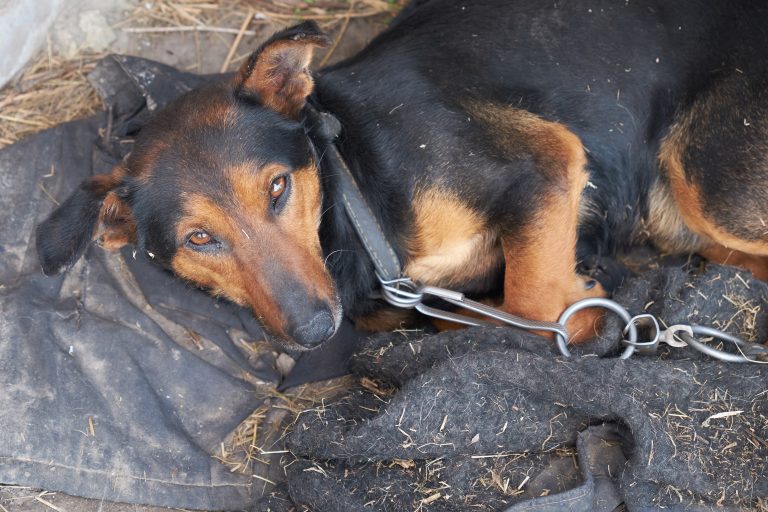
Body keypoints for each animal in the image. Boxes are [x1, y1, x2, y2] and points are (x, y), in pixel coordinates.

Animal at [36, 0, 768, 348]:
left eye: (277, 187)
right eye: (198, 239)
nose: (315, 332)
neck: (358, 196)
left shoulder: (543, 161)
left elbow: (534, 304)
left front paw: (582, 312)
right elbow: (477, 322)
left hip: (705, 178)